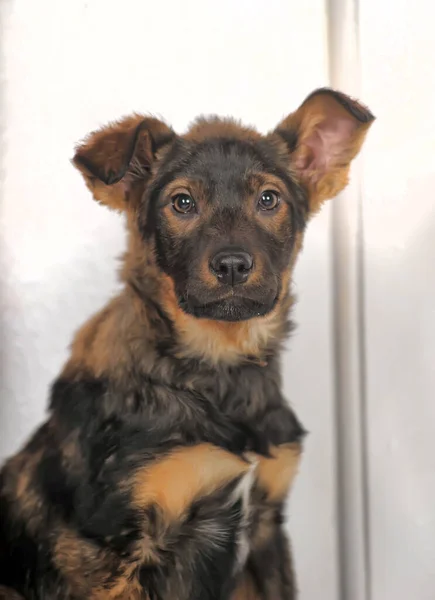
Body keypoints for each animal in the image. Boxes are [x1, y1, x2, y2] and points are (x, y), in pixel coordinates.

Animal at [0, 89, 374, 600]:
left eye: (269, 199)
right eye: (182, 203)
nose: (233, 265)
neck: (218, 368)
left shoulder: (266, 529)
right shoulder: (110, 548)